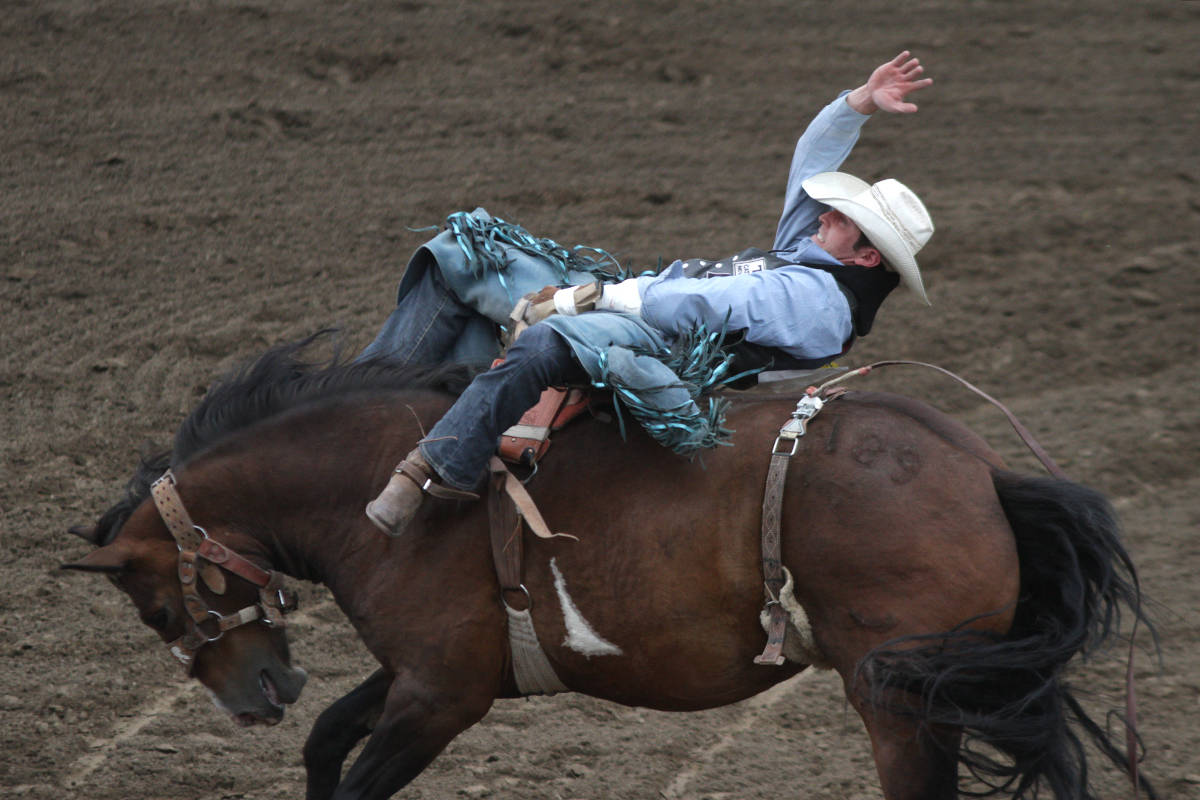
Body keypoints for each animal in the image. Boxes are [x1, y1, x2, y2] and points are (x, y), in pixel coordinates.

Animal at [63, 340, 1152, 800]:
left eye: (157, 607)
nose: (261, 694)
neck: (372, 485)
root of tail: (983, 471)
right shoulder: (436, 670)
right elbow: (331, 737)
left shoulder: (441, 695)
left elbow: (359, 771)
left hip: (896, 697)